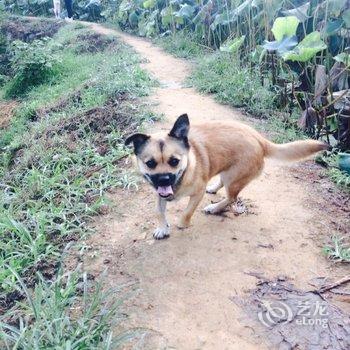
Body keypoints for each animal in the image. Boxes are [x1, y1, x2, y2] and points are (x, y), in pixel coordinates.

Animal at [125, 113, 328, 239]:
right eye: (150, 163)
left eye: (174, 161)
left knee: (231, 198)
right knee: (223, 186)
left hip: (234, 179)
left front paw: (182, 224)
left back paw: (214, 208)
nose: (164, 179)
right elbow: (158, 211)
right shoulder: (160, 194)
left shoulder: (196, 194)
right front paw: (162, 228)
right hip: (226, 171)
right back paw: (214, 189)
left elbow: (187, 212)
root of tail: (259, 139)